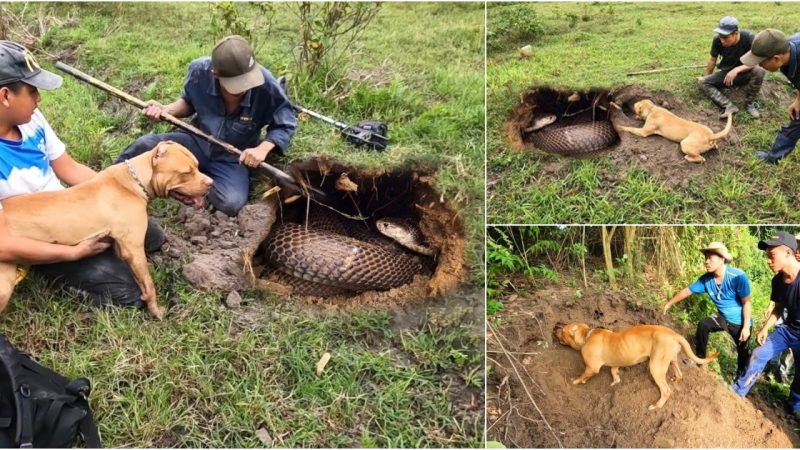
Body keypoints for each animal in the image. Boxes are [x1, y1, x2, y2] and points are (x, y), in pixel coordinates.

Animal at [0, 142, 212, 320]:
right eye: (186, 172)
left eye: (197, 166)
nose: (211, 183)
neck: (135, 182)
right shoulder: (134, 249)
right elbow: (149, 284)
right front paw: (156, 311)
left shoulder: (123, 247)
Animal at [556, 322, 720, 410]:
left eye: (563, 330)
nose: (555, 328)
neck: (587, 336)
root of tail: (674, 334)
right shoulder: (616, 362)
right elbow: (614, 372)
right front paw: (615, 381)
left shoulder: (591, 367)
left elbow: (583, 375)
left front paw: (576, 381)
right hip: (671, 359)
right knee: (679, 374)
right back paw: (675, 379)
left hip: (656, 366)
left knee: (666, 391)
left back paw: (656, 406)